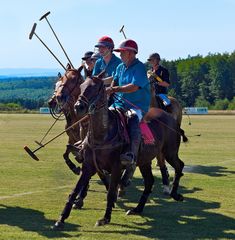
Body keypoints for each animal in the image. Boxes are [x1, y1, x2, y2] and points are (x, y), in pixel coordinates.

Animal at [52, 76, 187, 229]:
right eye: (81, 86)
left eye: (96, 88)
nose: (78, 106)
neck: (102, 135)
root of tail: (170, 117)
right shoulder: (88, 165)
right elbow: (75, 190)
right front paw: (61, 218)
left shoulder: (116, 166)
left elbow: (110, 192)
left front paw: (105, 218)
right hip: (145, 160)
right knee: (149, 181)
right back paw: (137, 209)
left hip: (169, 151)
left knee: (179, 165)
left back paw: (175, 194)